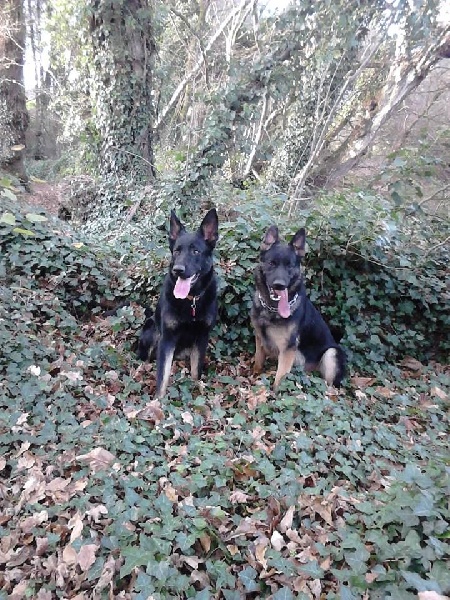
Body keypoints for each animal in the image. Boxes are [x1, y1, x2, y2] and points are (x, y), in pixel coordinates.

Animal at [137, 208, 219, 398]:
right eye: (176, 251)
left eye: (196, 251)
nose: (178, 270)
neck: (191, 301)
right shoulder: (167, 339)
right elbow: (162, 375)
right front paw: (158, 400)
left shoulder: (202, 337)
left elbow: (196, 370)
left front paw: (197, 391)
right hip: (152, 331)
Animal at [251, 225, 346, 390]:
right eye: (272, 263)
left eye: (289, 265)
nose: (280, 285)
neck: (271, 310)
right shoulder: (259, 338)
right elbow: (258, 360)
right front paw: (254, 375)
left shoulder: (287, 350)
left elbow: (280, 378)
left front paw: (275, 393)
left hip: (331, 353)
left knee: (329, 387)